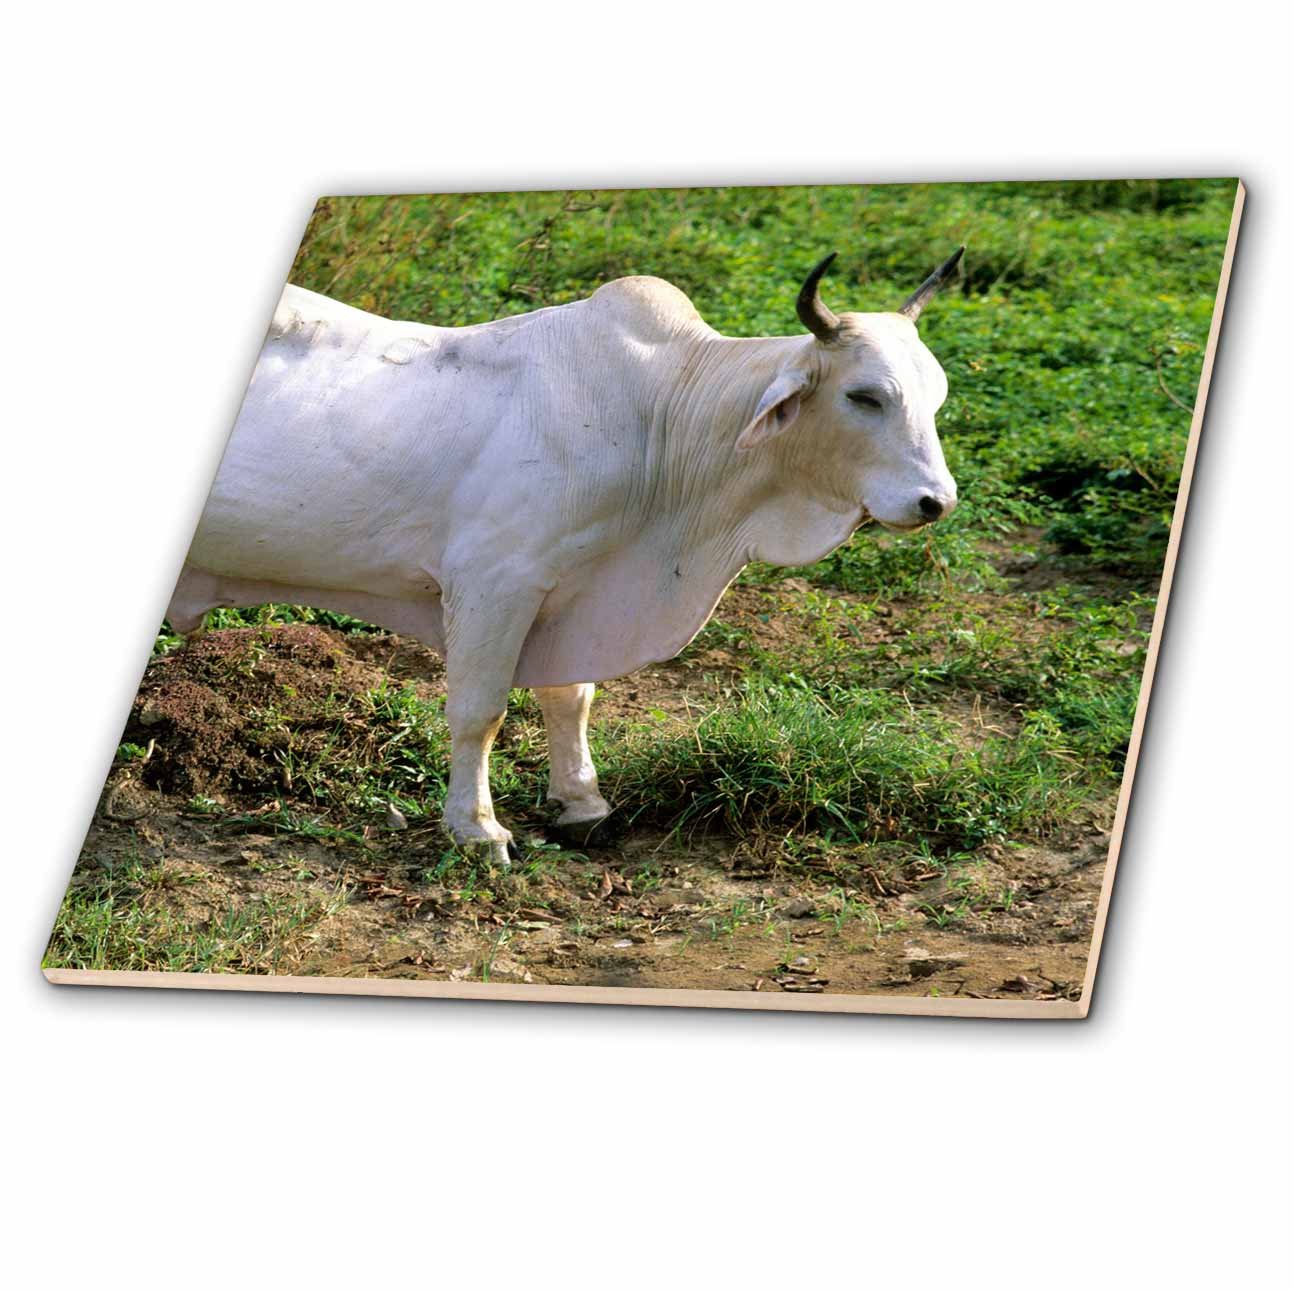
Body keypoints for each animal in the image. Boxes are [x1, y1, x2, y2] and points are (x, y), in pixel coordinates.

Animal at [168, 248, 963, 864]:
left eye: (937, 396)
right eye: (865, 396)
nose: (937, 501)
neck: (660, 423)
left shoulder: (571, 593)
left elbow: (570, 695)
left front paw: (581, 801)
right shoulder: (492, 582)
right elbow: (480, 713)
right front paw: (477, 828)